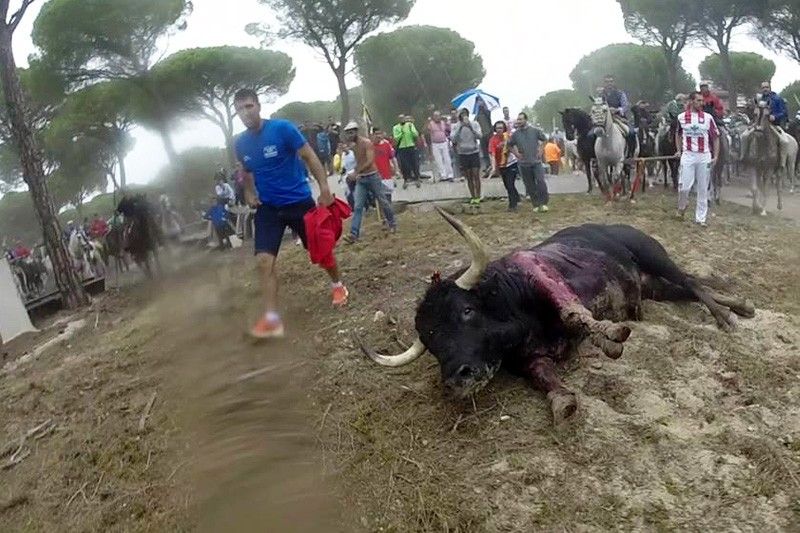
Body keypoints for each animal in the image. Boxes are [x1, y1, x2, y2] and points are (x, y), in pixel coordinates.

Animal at [362, 208, 756, 424]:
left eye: (466, 310)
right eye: (430, 344)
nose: (457, 380)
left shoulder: (542, 276)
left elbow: (572, 311)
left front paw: (610, 337)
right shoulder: (528, 360)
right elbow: (545, 376)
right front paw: (562, 400)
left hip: (652, 254)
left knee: (689, 280)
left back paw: (726, 316)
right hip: (650, 285)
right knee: (687, 287)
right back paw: (739, 305)